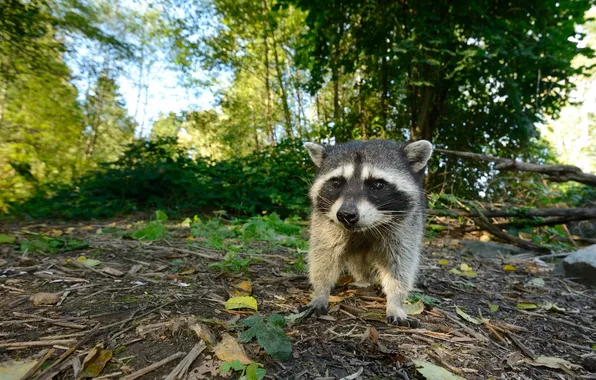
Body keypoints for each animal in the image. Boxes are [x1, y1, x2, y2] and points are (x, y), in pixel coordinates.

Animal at [300, 140, 430, 326]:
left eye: (377, 185)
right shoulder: (325, 223)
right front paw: (320, 292)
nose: (346, 215)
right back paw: (363, 280)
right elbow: (324, 256)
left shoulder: (405, 226)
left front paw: (395, 301)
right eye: (337, 182)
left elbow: (400, 263)